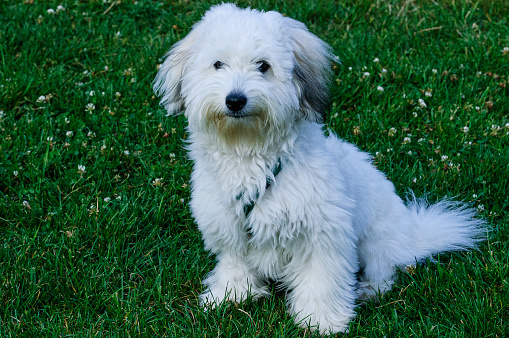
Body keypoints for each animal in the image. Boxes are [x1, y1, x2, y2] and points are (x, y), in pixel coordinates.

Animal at [154, 3, 484, 336]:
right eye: (218, 64)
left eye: (263, 66)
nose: (235, 100)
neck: (249, 152)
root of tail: (412, 235)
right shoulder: (229, 227)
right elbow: (234, 263)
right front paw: (231, 294)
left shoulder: (322, 233)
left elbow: (321, 280)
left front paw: (320, 320)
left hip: (378, 240)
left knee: (384, 272)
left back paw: (367, 290)